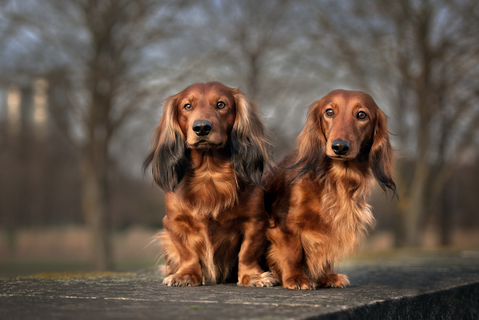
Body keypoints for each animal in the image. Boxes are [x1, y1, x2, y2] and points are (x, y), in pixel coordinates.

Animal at [144, 82, 276, 288]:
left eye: (221, 104)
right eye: (187, 106)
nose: (201, 127)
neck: (209, 173)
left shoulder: (255, 220)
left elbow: (247, 252)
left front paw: (253, 276)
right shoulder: (175, 222)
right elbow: (187, 253)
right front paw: (186, 275)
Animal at [264, 89, 396, 290]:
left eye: (361, 115)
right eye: (329, 112)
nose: (340, 146)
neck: (337, 178)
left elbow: (327, 249)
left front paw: (327, 276)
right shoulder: (284, 224)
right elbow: (292, 251)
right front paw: (296, 278)